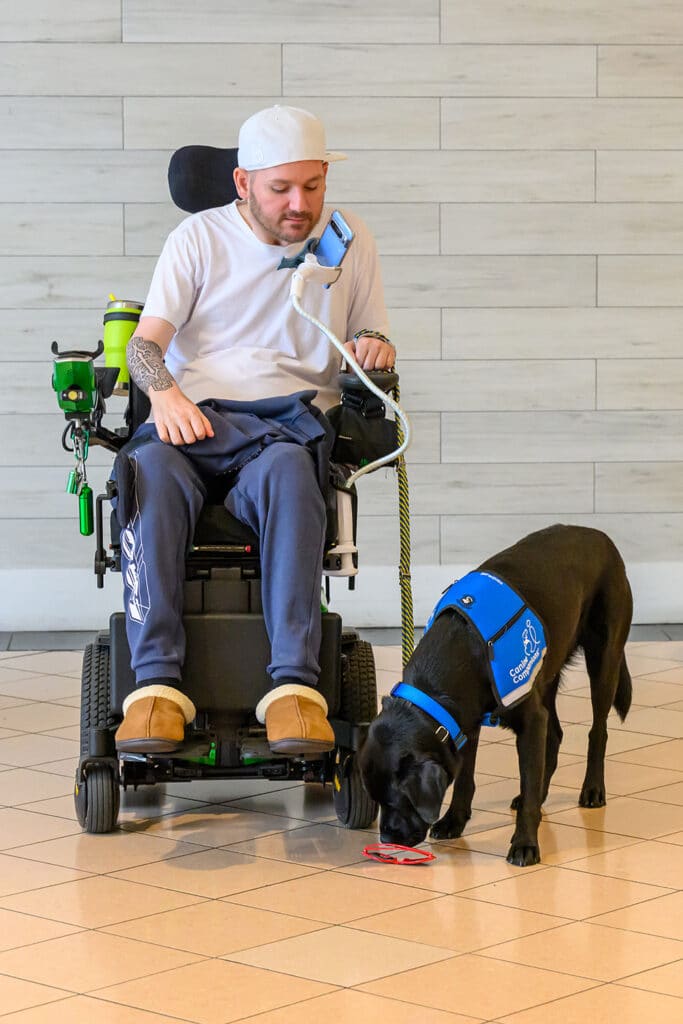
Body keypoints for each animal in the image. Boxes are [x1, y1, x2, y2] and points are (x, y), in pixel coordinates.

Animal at [360, 524, 634, 868]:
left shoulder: (527, 719)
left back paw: (593, 789)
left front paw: (525, 844)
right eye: (376, 799)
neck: (467, 649)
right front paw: (454, 821)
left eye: (398, 799)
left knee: (598, 731)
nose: (386, 839)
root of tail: (600, 536)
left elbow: (527, 779)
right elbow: (465, 780)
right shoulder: (463, 724)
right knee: (555, 734)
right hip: (547, 673)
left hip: (603, 658)